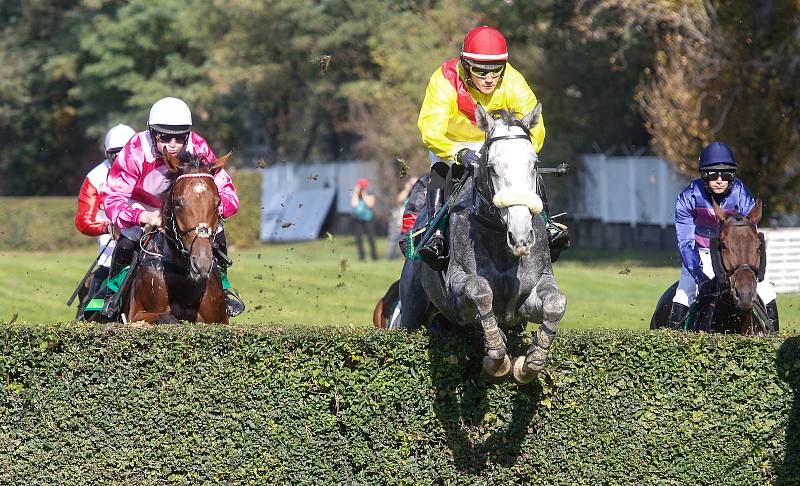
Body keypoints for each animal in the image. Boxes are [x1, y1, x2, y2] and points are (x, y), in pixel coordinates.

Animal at [123, 151, 233, 322]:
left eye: (218, 202)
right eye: (177, 202)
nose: (202, 263)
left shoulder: (218, 319)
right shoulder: (136, 315)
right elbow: (168, 319)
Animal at [396, 104, 564, 386]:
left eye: (534, 165)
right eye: (492, 167)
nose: (521, 236)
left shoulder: (530, 296)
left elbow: (556, 302)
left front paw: (531, 362)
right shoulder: (458, 288)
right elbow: (480, 290)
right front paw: (497, 356)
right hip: (412, 309)